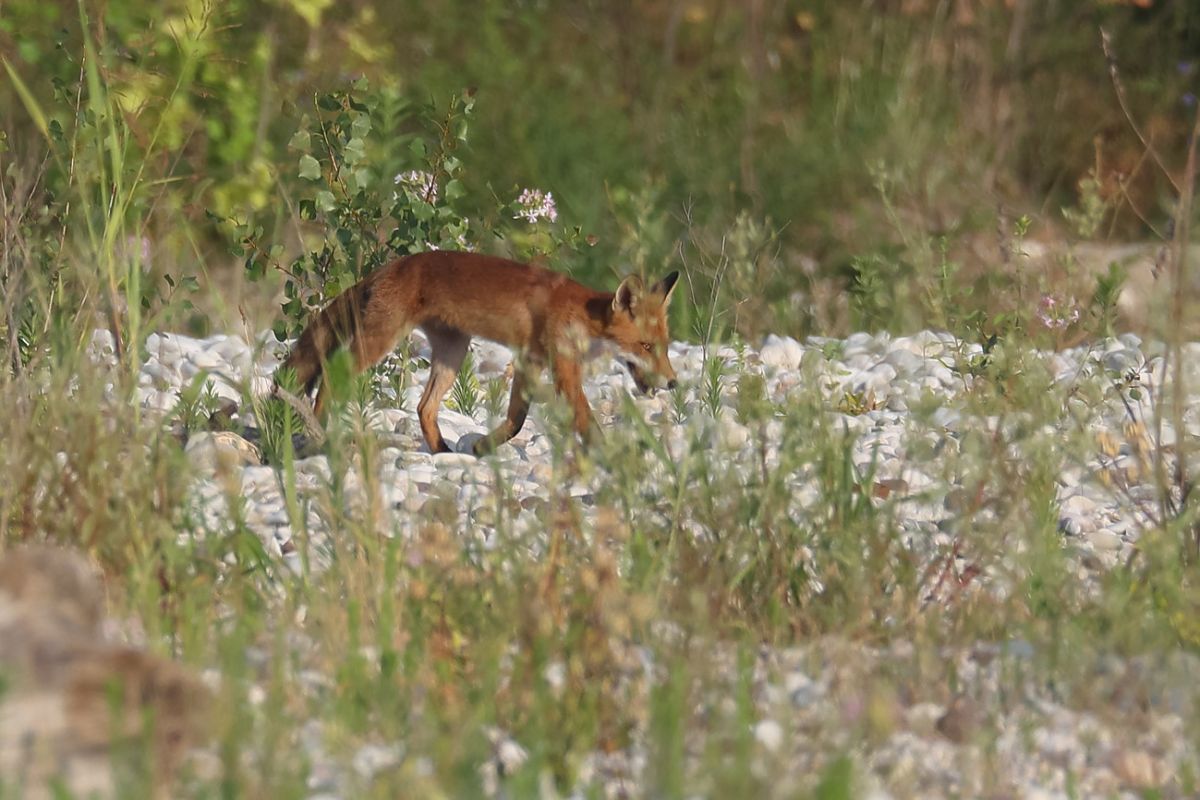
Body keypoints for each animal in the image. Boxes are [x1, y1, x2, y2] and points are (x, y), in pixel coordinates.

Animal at [277, 250, 680, 455]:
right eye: (645, 346)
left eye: (663, 347)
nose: (673, 383)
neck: (581, 316)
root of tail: (386, 268)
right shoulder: (563, 367)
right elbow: (585, 419)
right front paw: (611, 457)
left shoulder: (529, 360)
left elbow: (517, 419)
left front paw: (484, 448)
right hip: (379, 341)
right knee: (331, 378)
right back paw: (320, 435)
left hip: (453, 353)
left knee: (423, 407)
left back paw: (442, 451)